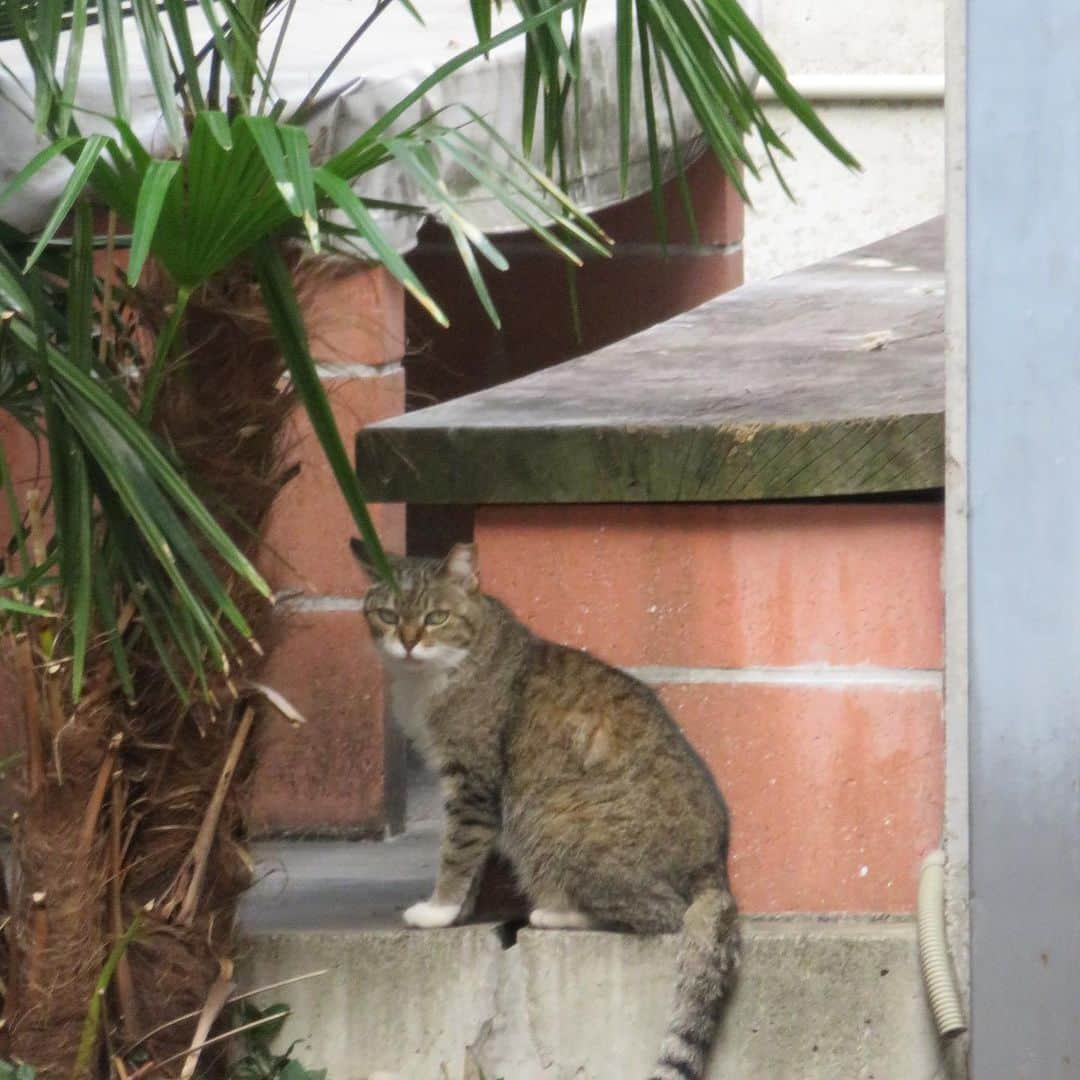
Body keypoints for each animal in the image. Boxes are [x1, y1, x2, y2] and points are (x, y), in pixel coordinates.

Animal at [349, 540, 738, 1080]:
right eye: (387, 615)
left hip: (553, 818)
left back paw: (555, 913)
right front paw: (461, 910)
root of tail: (712, 865)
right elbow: (470, 860)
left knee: (662, 915)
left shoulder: (473, 781)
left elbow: (457, 851)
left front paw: (439, 910)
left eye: (435, 617)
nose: (407, 643)